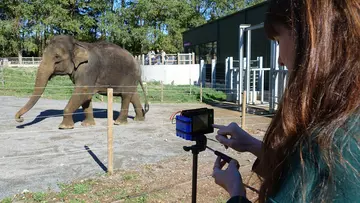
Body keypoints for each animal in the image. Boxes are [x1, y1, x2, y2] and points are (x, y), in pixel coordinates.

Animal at [14, 35, 149, 129]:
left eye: (57, 57)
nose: (20, 119)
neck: (77, 44)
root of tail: (137, 62)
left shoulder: (89, 69)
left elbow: (83, 90)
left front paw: (64, 127)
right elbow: (86, 95)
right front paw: (87, 125)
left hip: (129, 75)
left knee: (126, 96)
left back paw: (119, 123)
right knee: (133, 95)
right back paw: (139, 119)